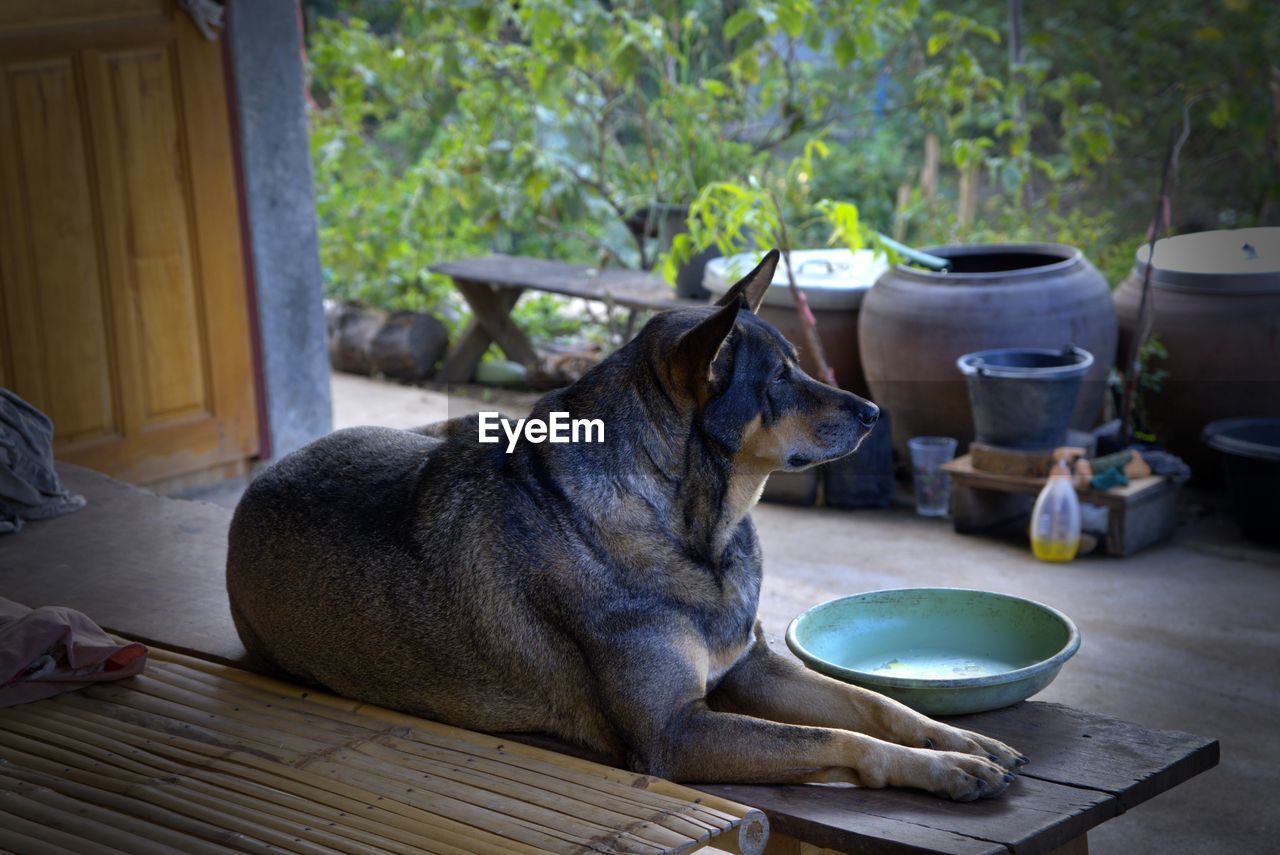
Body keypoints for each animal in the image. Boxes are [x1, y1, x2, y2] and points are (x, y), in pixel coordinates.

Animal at [230, 250, 1024, 798]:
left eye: (799, 363)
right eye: (777, 380)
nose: (873, 413)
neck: (695, 529)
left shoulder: (753, 666)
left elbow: (872, 703)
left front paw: (957, 740)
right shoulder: (675, 733)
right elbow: (834, 737)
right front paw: (942, 768)